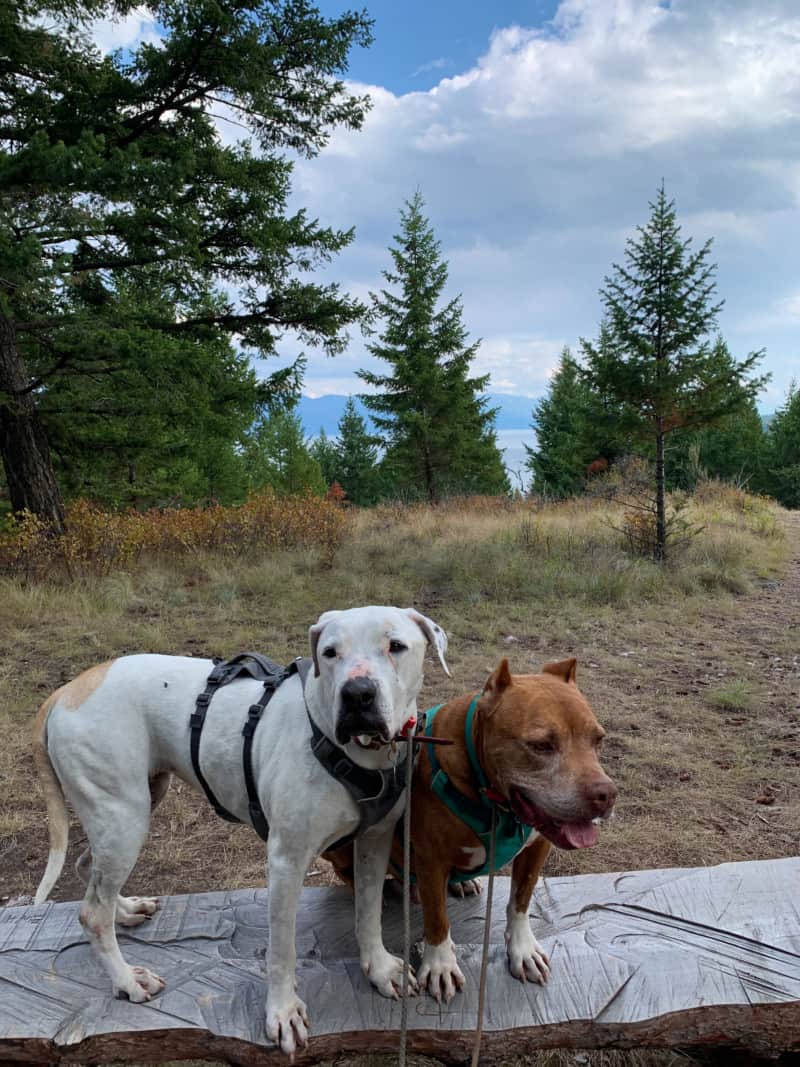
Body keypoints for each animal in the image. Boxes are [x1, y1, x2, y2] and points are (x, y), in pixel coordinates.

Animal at [34, 606, 448, 1054]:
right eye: (330, 652)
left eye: (396, 646)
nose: (357, 694)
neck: (358, 752)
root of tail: (66, 690)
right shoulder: (286, 863)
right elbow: (282, 950)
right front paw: (282, 1012)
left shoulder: (375, 839)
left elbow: (368, 910)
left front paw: (380, 968)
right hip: (125, 816)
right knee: (93, 911)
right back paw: (127, 980)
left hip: (127, 808)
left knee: (89, 871)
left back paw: (125, 910)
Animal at [328, 657, 618, 998]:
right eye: (541, 745)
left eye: (598, 739)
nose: (606, 795)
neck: (495, 802)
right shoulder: (430, 859)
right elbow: (437, 917)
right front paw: (440, 965)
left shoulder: (537, 847)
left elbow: (521, 899)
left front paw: (522, 949)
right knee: (352, 875)